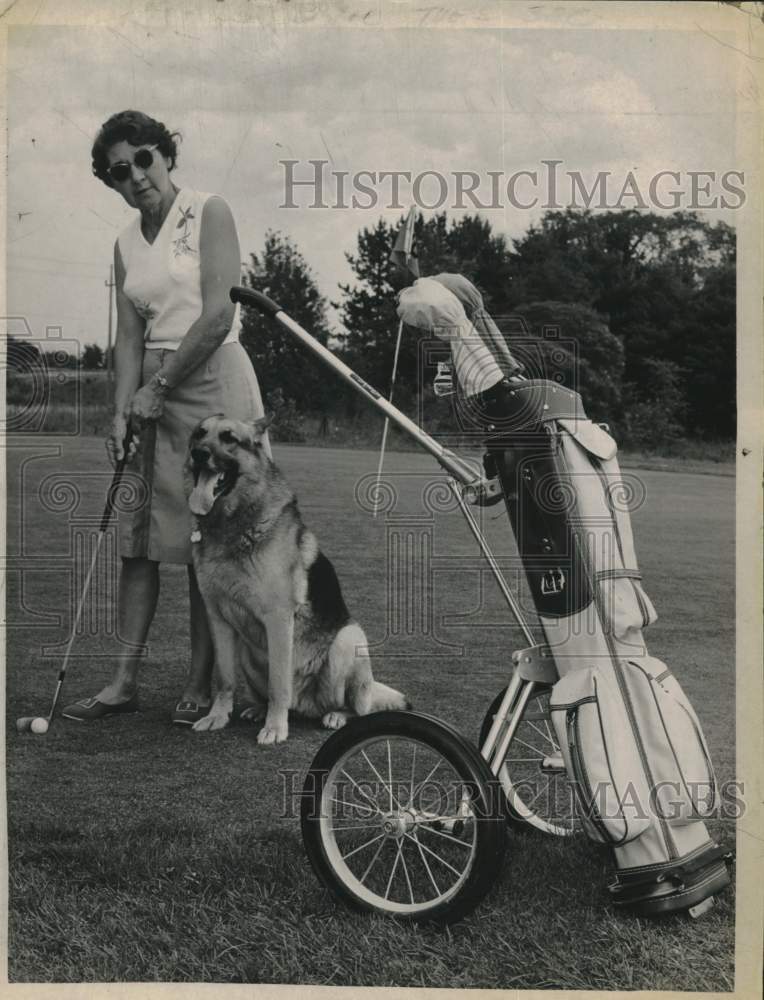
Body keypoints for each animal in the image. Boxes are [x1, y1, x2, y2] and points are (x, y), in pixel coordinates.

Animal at [184, 412, 408, 744]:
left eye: (229, 438)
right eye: (200, 434)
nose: (199, 454)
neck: (232, 524)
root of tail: (305, 706)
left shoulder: (278, 620)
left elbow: (279, 683)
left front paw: (276, 728)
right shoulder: (218, 619)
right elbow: (224, 678)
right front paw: (218, 717)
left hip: (347, 640)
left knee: (355, 706)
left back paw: (335, 715)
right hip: (248, 654)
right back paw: (258, 710)